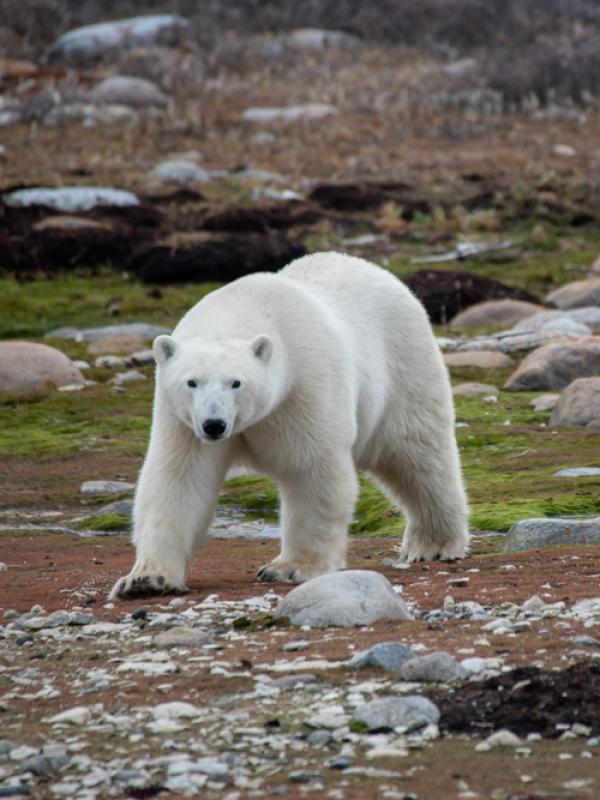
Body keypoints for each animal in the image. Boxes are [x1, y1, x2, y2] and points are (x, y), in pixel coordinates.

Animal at [110, 251, 468, 598]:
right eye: (191, 382)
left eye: (236, 382)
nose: (214, 425)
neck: (245, 307)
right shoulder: (182, 422)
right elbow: (178, 480)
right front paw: (146, 579)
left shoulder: (303, 387)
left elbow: (312, 470)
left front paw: (290, 567)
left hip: (403, 366)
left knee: (416, 453)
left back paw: (433, 543)